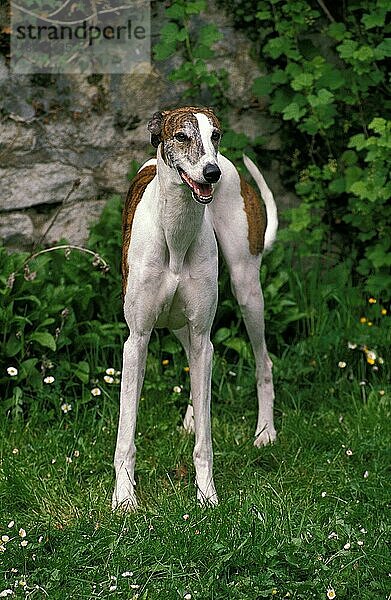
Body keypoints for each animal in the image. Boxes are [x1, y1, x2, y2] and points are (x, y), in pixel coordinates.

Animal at [113, 105, 278, 508]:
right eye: (182, 136)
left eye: (215, 134)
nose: (211, 173)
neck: (175, 232)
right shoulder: (136, 340)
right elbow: (126, 435)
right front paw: (124, 500)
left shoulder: (204, 335)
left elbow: (206, 439)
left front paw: (207, 496)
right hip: (177, 324)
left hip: (246, 290)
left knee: (263, 361)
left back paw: (265, 431)